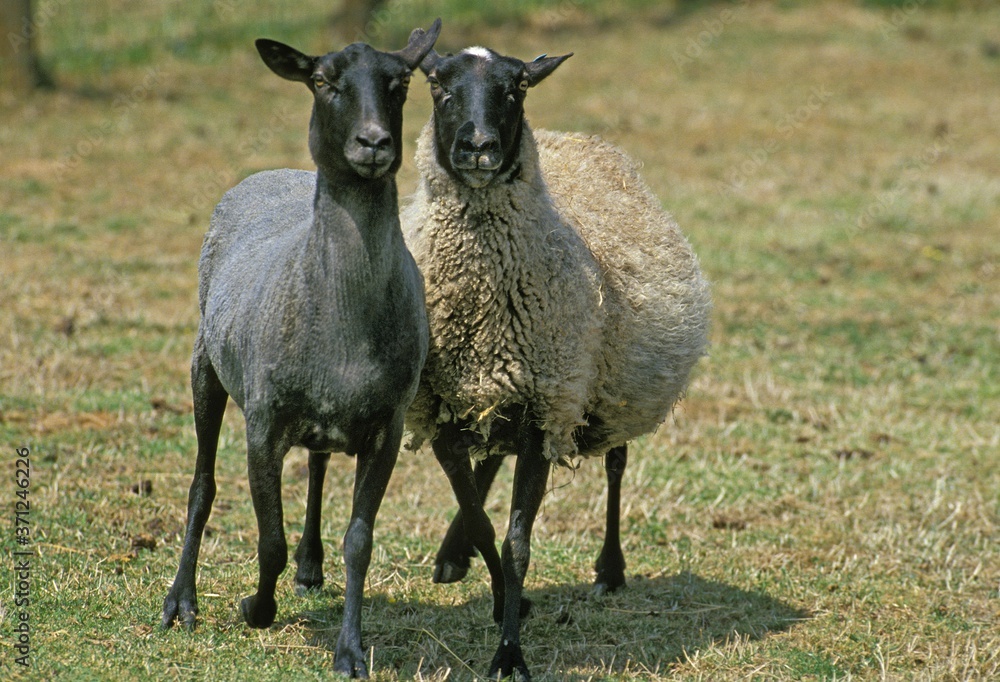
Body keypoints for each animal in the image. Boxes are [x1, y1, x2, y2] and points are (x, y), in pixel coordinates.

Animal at [160, 21, 440, 679]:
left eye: (401, 82)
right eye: (322, 81)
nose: (374, 143)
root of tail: (269, 173)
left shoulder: (387, 425)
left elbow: (359, 542)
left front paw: (350, 651)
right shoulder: (263, 422)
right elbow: (270, 540)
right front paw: (256, 609)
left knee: (316, 465)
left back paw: (312, 568)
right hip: (206, 363)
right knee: (202, 485)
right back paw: (181, 601)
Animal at [398, 45, 712, 679]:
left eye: (516, 88)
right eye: (438, 85)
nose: (479, 147)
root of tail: (574, 138)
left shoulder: (545, 413)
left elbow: (518, 541)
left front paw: (509, 652)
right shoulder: (446, 413)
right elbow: (482, 520)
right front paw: (501, 601)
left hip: (607, 387)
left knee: (615, 464)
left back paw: (609, 570)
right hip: (503, 394)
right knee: (491, 464)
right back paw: (454, 556)